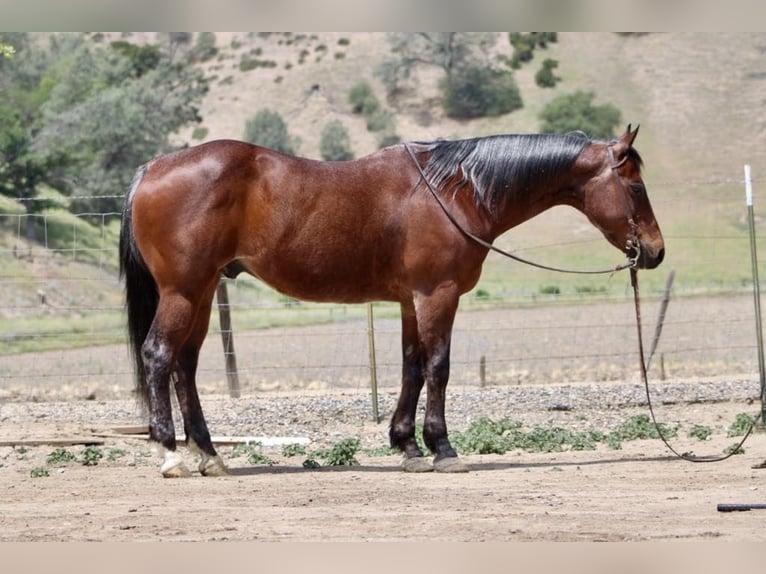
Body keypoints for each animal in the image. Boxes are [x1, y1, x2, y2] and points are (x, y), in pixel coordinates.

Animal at [119, 124, 664, 477]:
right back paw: (170, 454)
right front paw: (442, 448)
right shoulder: (437, 295)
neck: (456, 190)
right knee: (159, 355)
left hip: (202, 292)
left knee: (185, 366)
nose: (655, 251)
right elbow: (439, 367)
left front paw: (406, 445)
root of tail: (151, 168)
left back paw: (209, 455)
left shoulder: (409, 301)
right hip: (183, 292)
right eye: (635, 186)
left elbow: (411, 367)